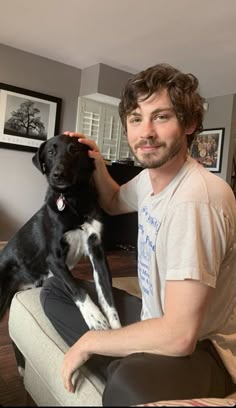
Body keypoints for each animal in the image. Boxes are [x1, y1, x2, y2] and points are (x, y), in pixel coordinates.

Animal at [0, 134, 121, 332]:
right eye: (50, 152)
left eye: (74, 150)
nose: (58, 174)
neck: (73, 199)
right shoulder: (53, 259)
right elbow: (76, 288)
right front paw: (95, 317)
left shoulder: (97, 252)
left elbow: (107, 294)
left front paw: (117, 328)